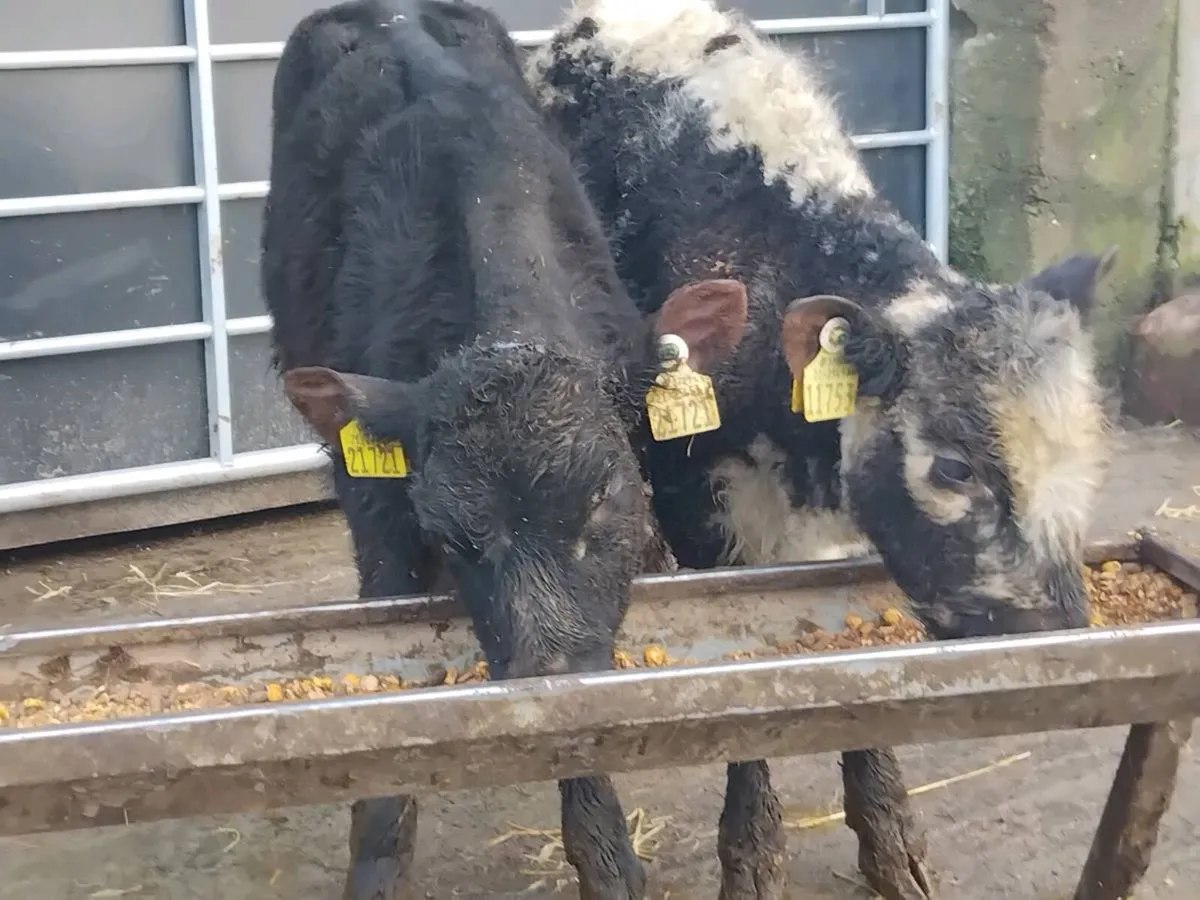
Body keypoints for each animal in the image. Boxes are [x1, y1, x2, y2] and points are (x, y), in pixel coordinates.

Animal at [529, 1, 1117, 897]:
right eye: (954, 467)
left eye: (1086, 465)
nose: (1055, 638)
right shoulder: (701, 501)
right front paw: (752, 856)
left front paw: (892, 844)